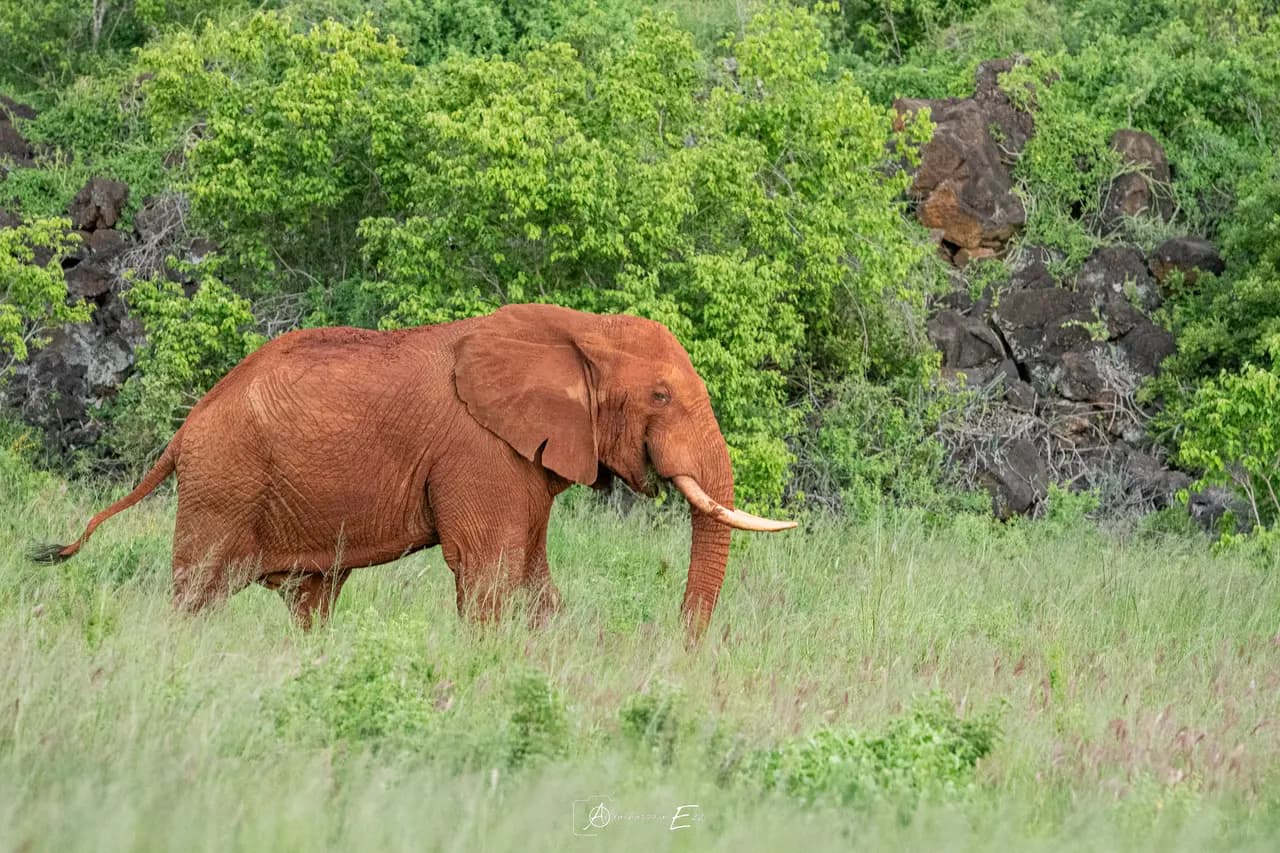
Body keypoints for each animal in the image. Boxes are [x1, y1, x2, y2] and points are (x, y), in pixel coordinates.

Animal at [35, 303, 795, 636]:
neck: (580, 327)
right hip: (225, 478)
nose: (680, 645)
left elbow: (532, 576)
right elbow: (490, 569)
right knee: (199, 590)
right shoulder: (479, 451)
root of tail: (184, 428)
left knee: (311, 595)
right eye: (661, 396)